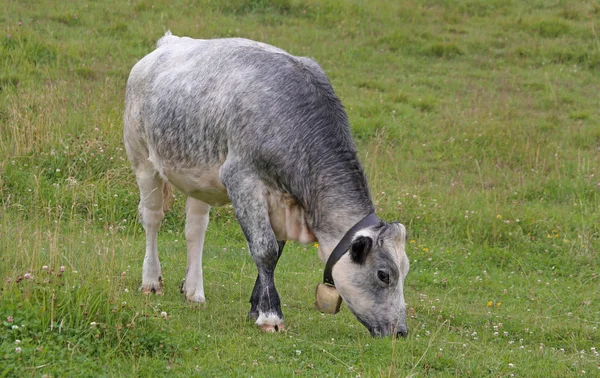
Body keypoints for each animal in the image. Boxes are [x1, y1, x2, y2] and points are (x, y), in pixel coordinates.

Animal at [124, 31, 410, 336]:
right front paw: (270, 315)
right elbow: (265, 249)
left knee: (195, 231)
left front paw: (255, 306)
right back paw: (151, 280)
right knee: (153, 219)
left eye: (405, 271)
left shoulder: (283, 202)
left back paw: (194, 291)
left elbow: (277, 251)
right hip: (142, 160)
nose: (401, 331)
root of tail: (170, 41)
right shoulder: (242, 179)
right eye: (384, 274)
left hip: (198, 178)